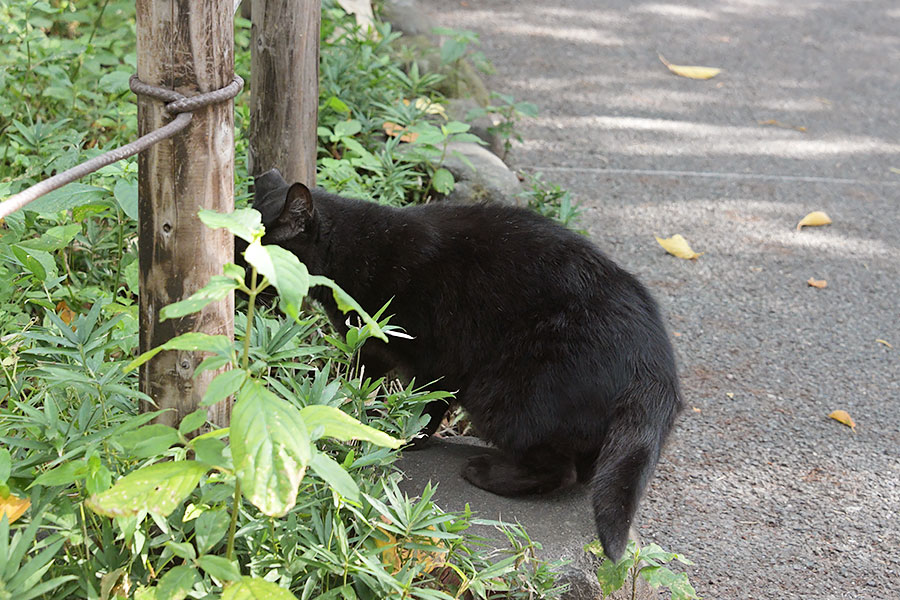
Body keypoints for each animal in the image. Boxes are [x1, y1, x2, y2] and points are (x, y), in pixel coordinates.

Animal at [246, 168, 684, 556]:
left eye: (259, 257)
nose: (242, 280)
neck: (354, 252)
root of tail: (655, 364)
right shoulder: (370, 347)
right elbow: (358, 385)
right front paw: (347, 416)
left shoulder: (436, 357)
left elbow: (423, 405)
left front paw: (402, 436)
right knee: (584, 468)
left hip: (503, 391)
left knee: (562, 472)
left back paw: (486, 472)